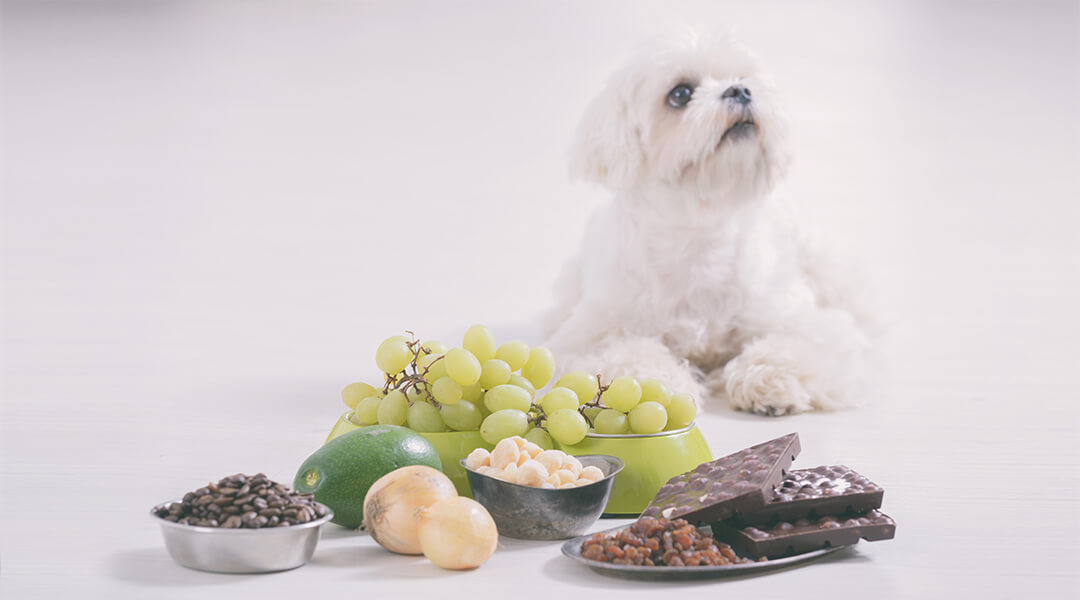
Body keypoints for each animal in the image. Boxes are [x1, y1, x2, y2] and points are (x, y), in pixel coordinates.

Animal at [540, 30, 876, 414]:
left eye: (743, 78)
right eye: (680, 94)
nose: (740, 91)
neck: (699, 236)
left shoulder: (808, 321)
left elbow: (798, 344)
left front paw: (769, 378)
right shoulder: (593, 333)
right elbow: (627, 353)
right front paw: (660, 387)